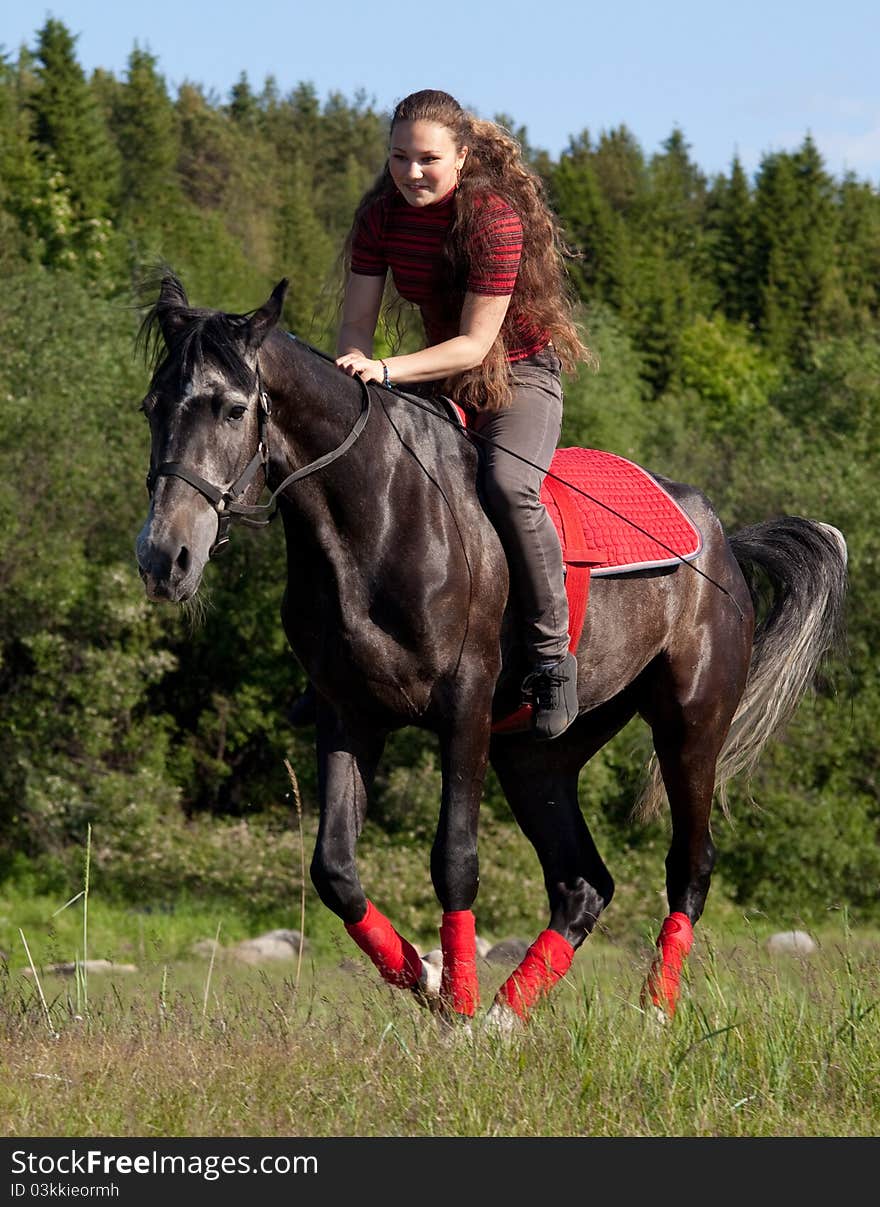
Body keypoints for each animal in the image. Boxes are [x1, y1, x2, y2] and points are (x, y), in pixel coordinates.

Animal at [135, 277, 844, 1033]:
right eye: (153, 407)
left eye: (234, 408)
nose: (163, 559)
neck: (378, 513)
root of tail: (724, 543)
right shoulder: (347, 714)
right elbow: (335, 870)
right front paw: (427, 976)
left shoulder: (465, 706)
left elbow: (455, 859)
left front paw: (458, 1009)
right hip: (537, 754)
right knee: (583, 883)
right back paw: (509, 1014)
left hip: (690, 725)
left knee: (690, 864)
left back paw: (652, 1011)